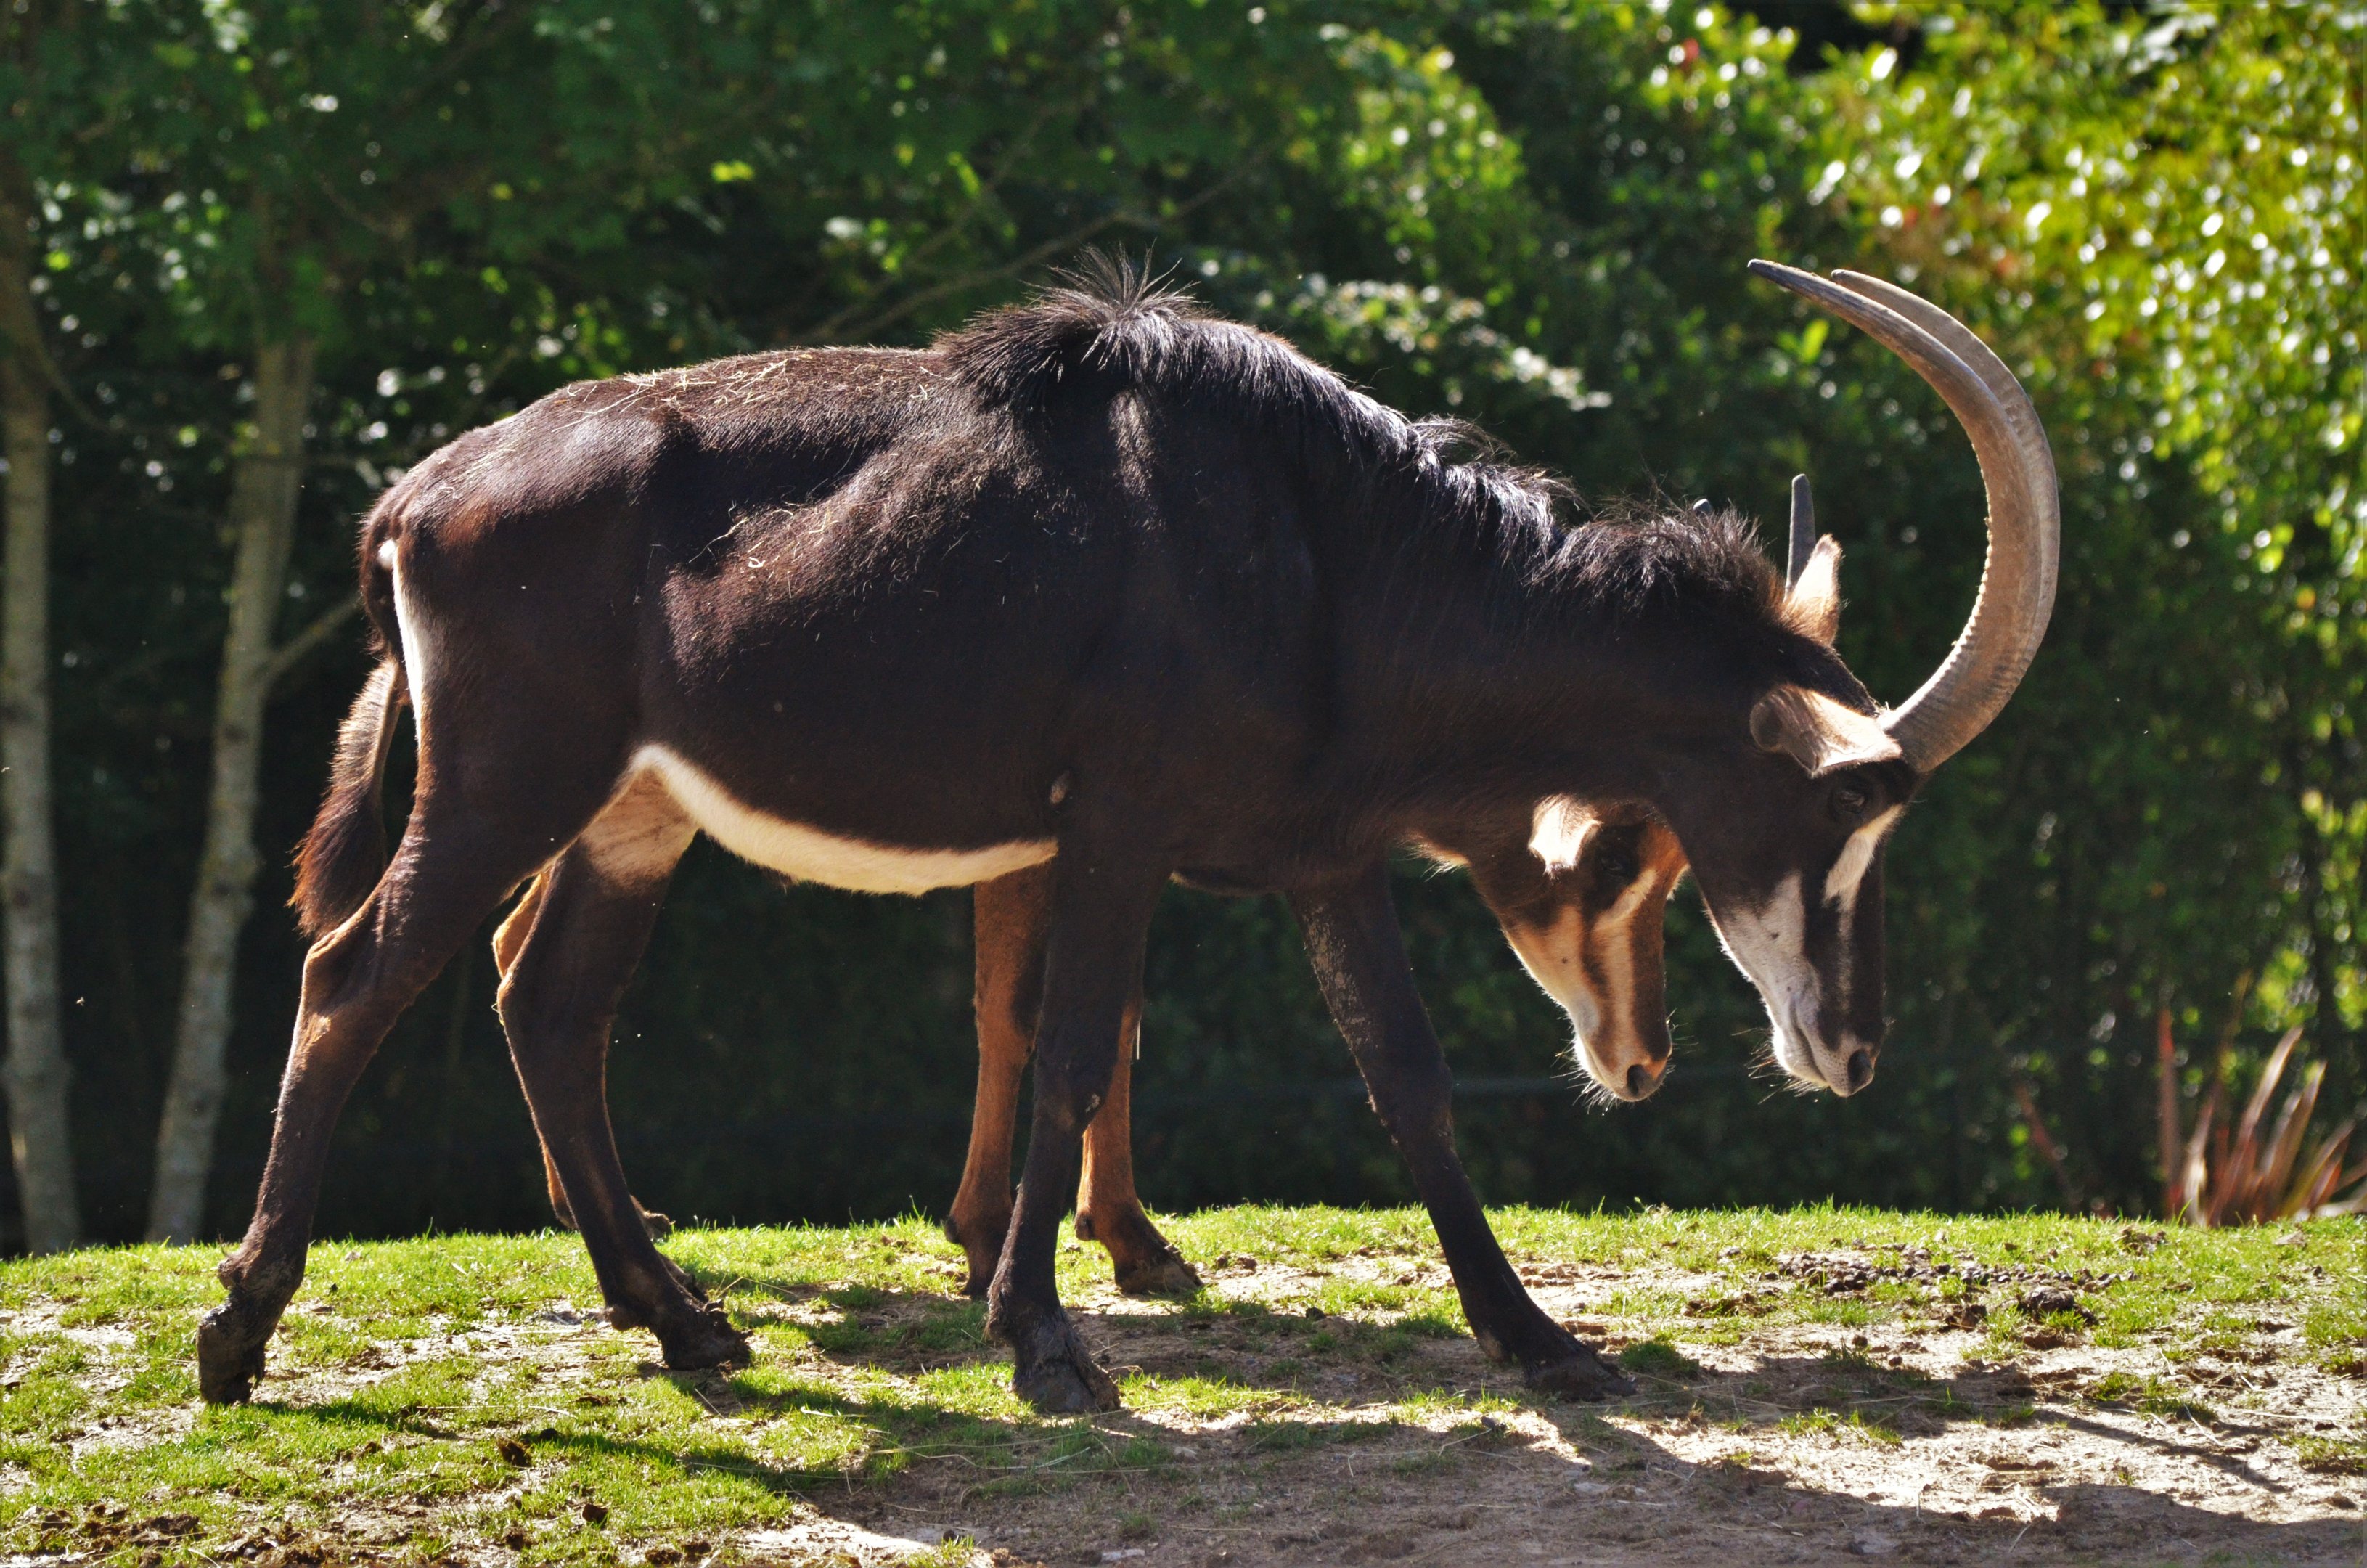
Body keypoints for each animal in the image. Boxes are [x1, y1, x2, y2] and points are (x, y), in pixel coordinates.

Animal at [198, 258, 2055, 1414]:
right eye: (1840, 805)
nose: (1846, 1050)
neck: (1328, 548)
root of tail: (417, 499)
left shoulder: (1321, 857)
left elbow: (1403, 1075)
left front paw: (1531, 1338)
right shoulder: (1113, 826)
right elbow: (1075, 1039)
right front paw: (1041, 1336)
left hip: (634, 817)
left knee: (546, 1007)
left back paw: (683, 1323)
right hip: (509, 783)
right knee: (353, 975)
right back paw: (239, 1334)